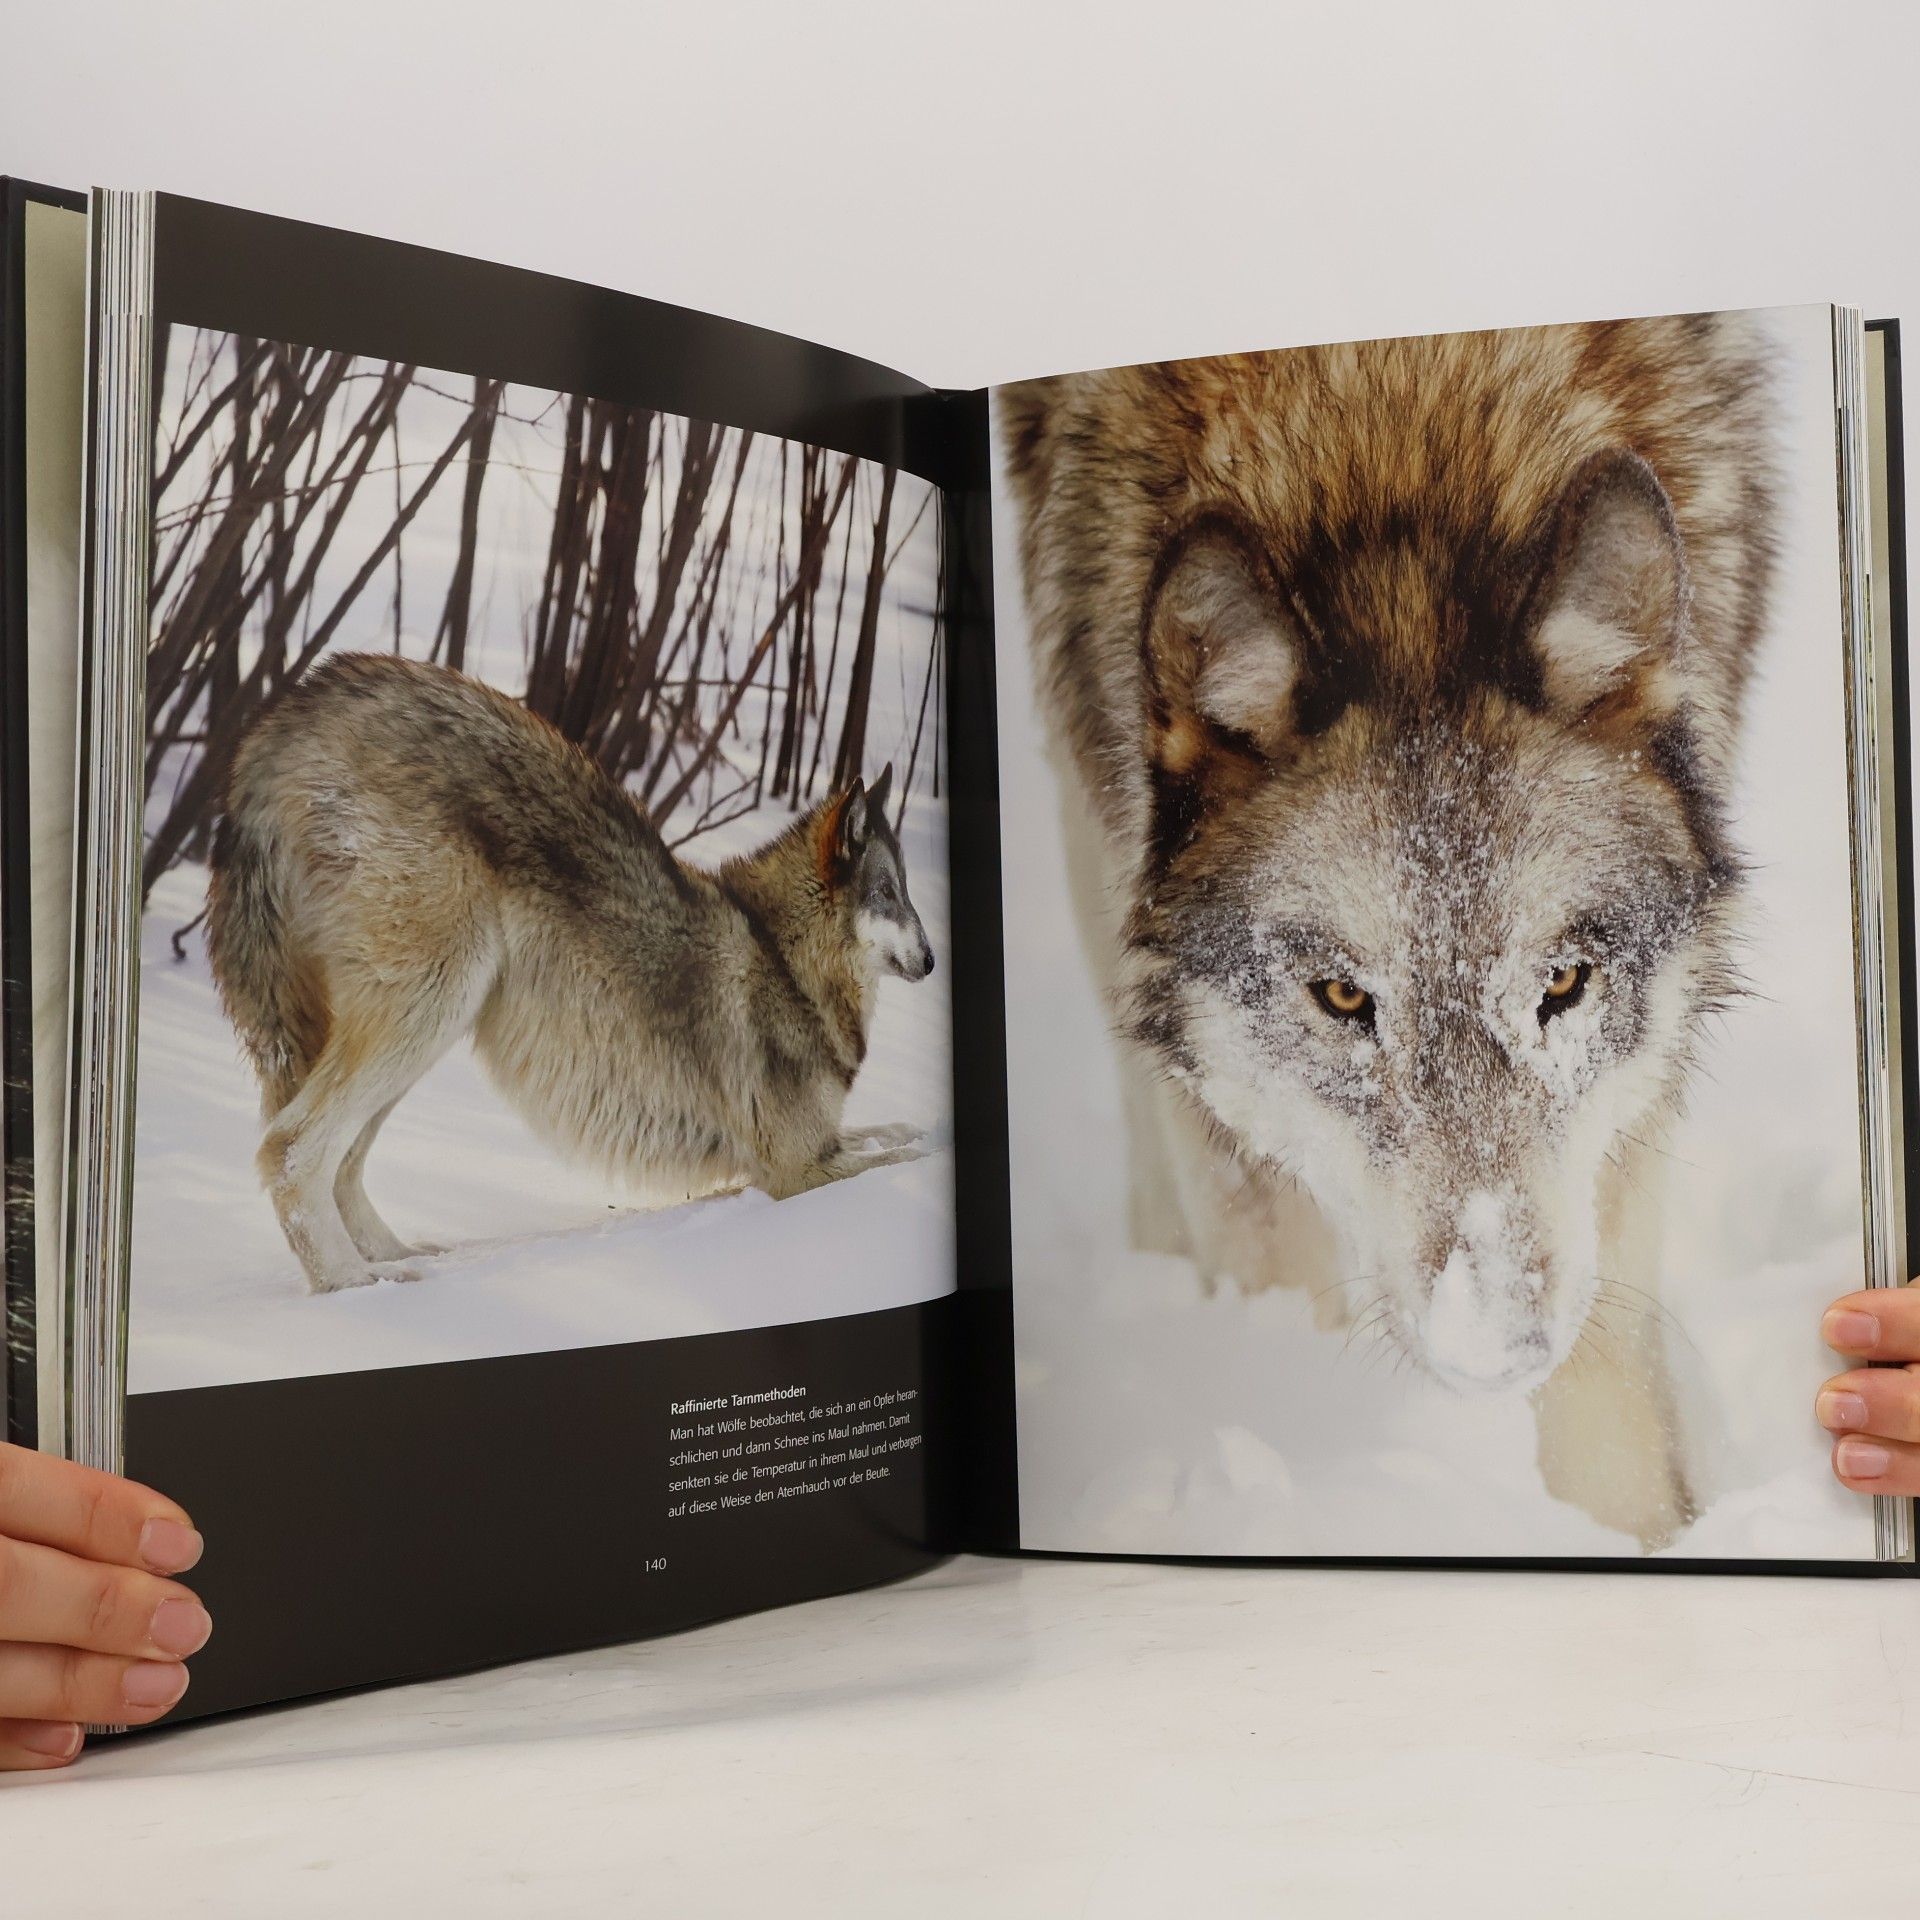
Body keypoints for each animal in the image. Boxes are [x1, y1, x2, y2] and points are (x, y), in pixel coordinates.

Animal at [205, 653, 934, 1295]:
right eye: (888, 894)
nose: (932, 960)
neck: (784, 958)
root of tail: (296, 712)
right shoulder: (792, 1170)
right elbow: (898, 1158)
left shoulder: (818, 1145)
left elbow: (896, 1131)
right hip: (434, 1001)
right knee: (291, 1149)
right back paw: (358, 1286)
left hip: (430, 1020)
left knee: (342, 1162)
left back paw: (399, 1258)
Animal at [999, 316, 1778, 1548]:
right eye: (1344, 999)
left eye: (1563, 983)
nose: (1498, 1344)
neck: (1403, 441)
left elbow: (1606, 1372)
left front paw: (1631, 1547)